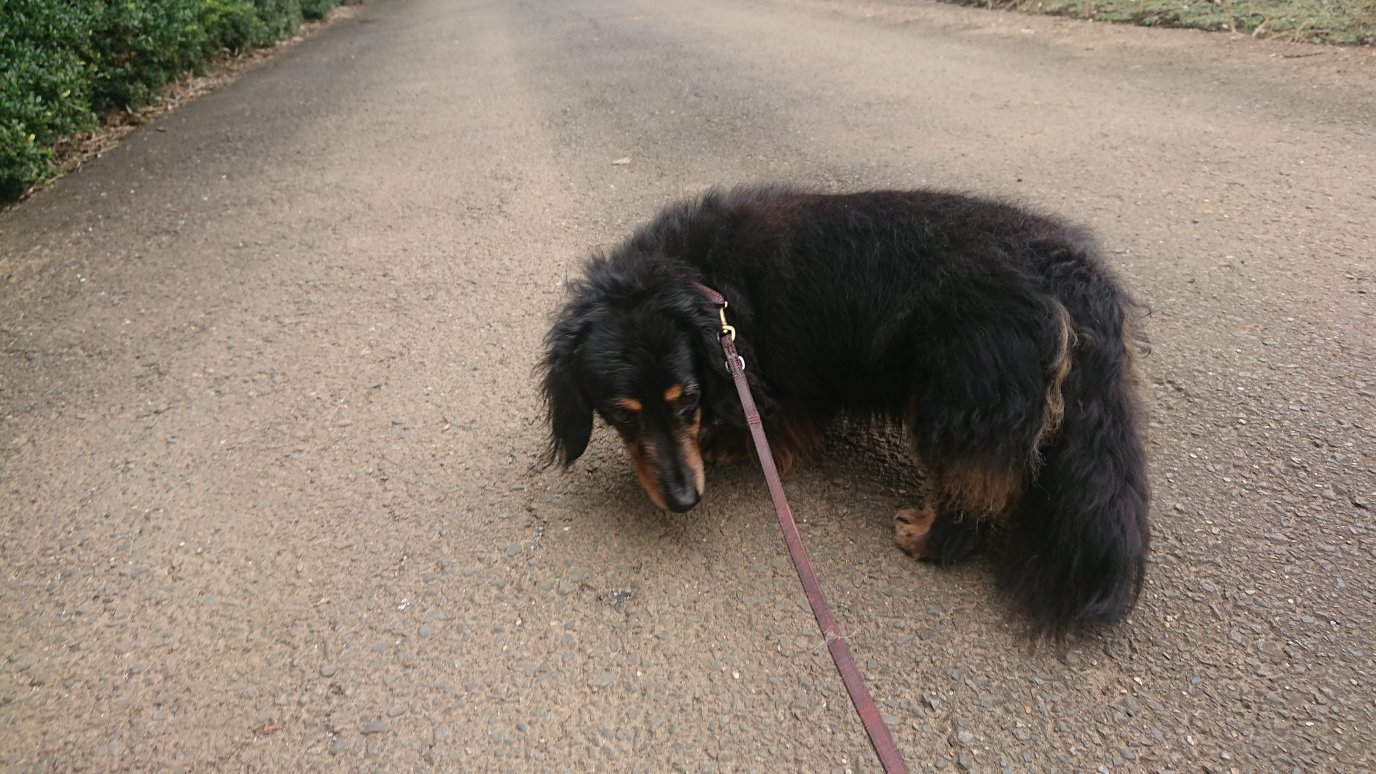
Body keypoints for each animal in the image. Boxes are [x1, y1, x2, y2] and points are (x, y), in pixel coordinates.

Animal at [540, 186, 1150, 638]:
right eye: (622, 413)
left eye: (687, 398)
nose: (684, 500)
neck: (699, 280)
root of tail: (1073, 275)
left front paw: (735, 445)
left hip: (958, 397)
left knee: (976, 489)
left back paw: (929, 537)